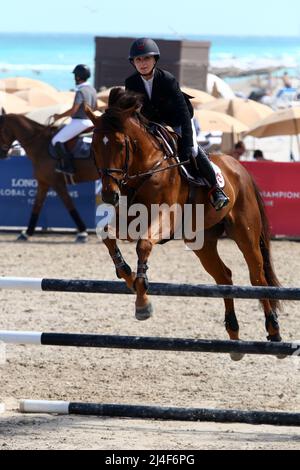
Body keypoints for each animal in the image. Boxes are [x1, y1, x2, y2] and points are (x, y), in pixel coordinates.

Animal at [0, 112, 98, 241]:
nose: (1, 154)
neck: (40, 144)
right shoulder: (44, 182)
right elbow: (37, 206)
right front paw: (27, 233)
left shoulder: (57, 183)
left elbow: (69, 205)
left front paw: (82, 232)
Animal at [86, 88, 282, 356]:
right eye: (94, 146)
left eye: (120, 145)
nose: (108, 195)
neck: (147, 168)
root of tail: (239, 168)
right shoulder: (129, 221)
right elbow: (107, 234)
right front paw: (127, 275)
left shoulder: (165, 218)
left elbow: (143, 245)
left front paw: (142, 303)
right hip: (202, 241)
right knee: (224, 278)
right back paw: (234, 335)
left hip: (246, 235)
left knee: (257, 277)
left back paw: (274, 331)